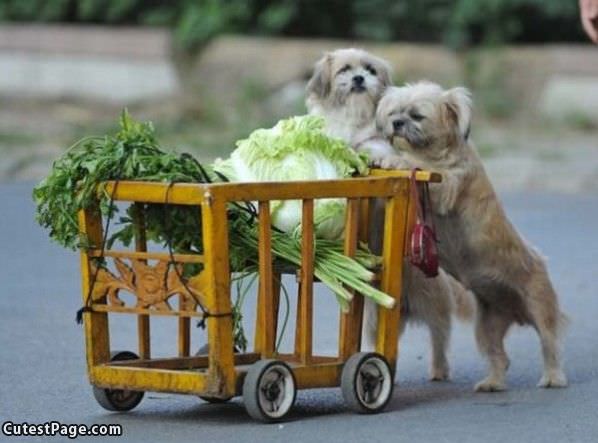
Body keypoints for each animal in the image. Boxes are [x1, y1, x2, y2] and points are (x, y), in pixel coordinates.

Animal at [378, 81, 568, 390]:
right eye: (395, 112)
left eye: (417, 115)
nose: (396, 123)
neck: (435, 153)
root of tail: (518, 314)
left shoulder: (443, 186)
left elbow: (417, 165)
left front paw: (395, 159)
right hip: (487, 327)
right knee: (499, 357)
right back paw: (492, 382)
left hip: (540, 307)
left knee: (549, 344)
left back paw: (552, 377)